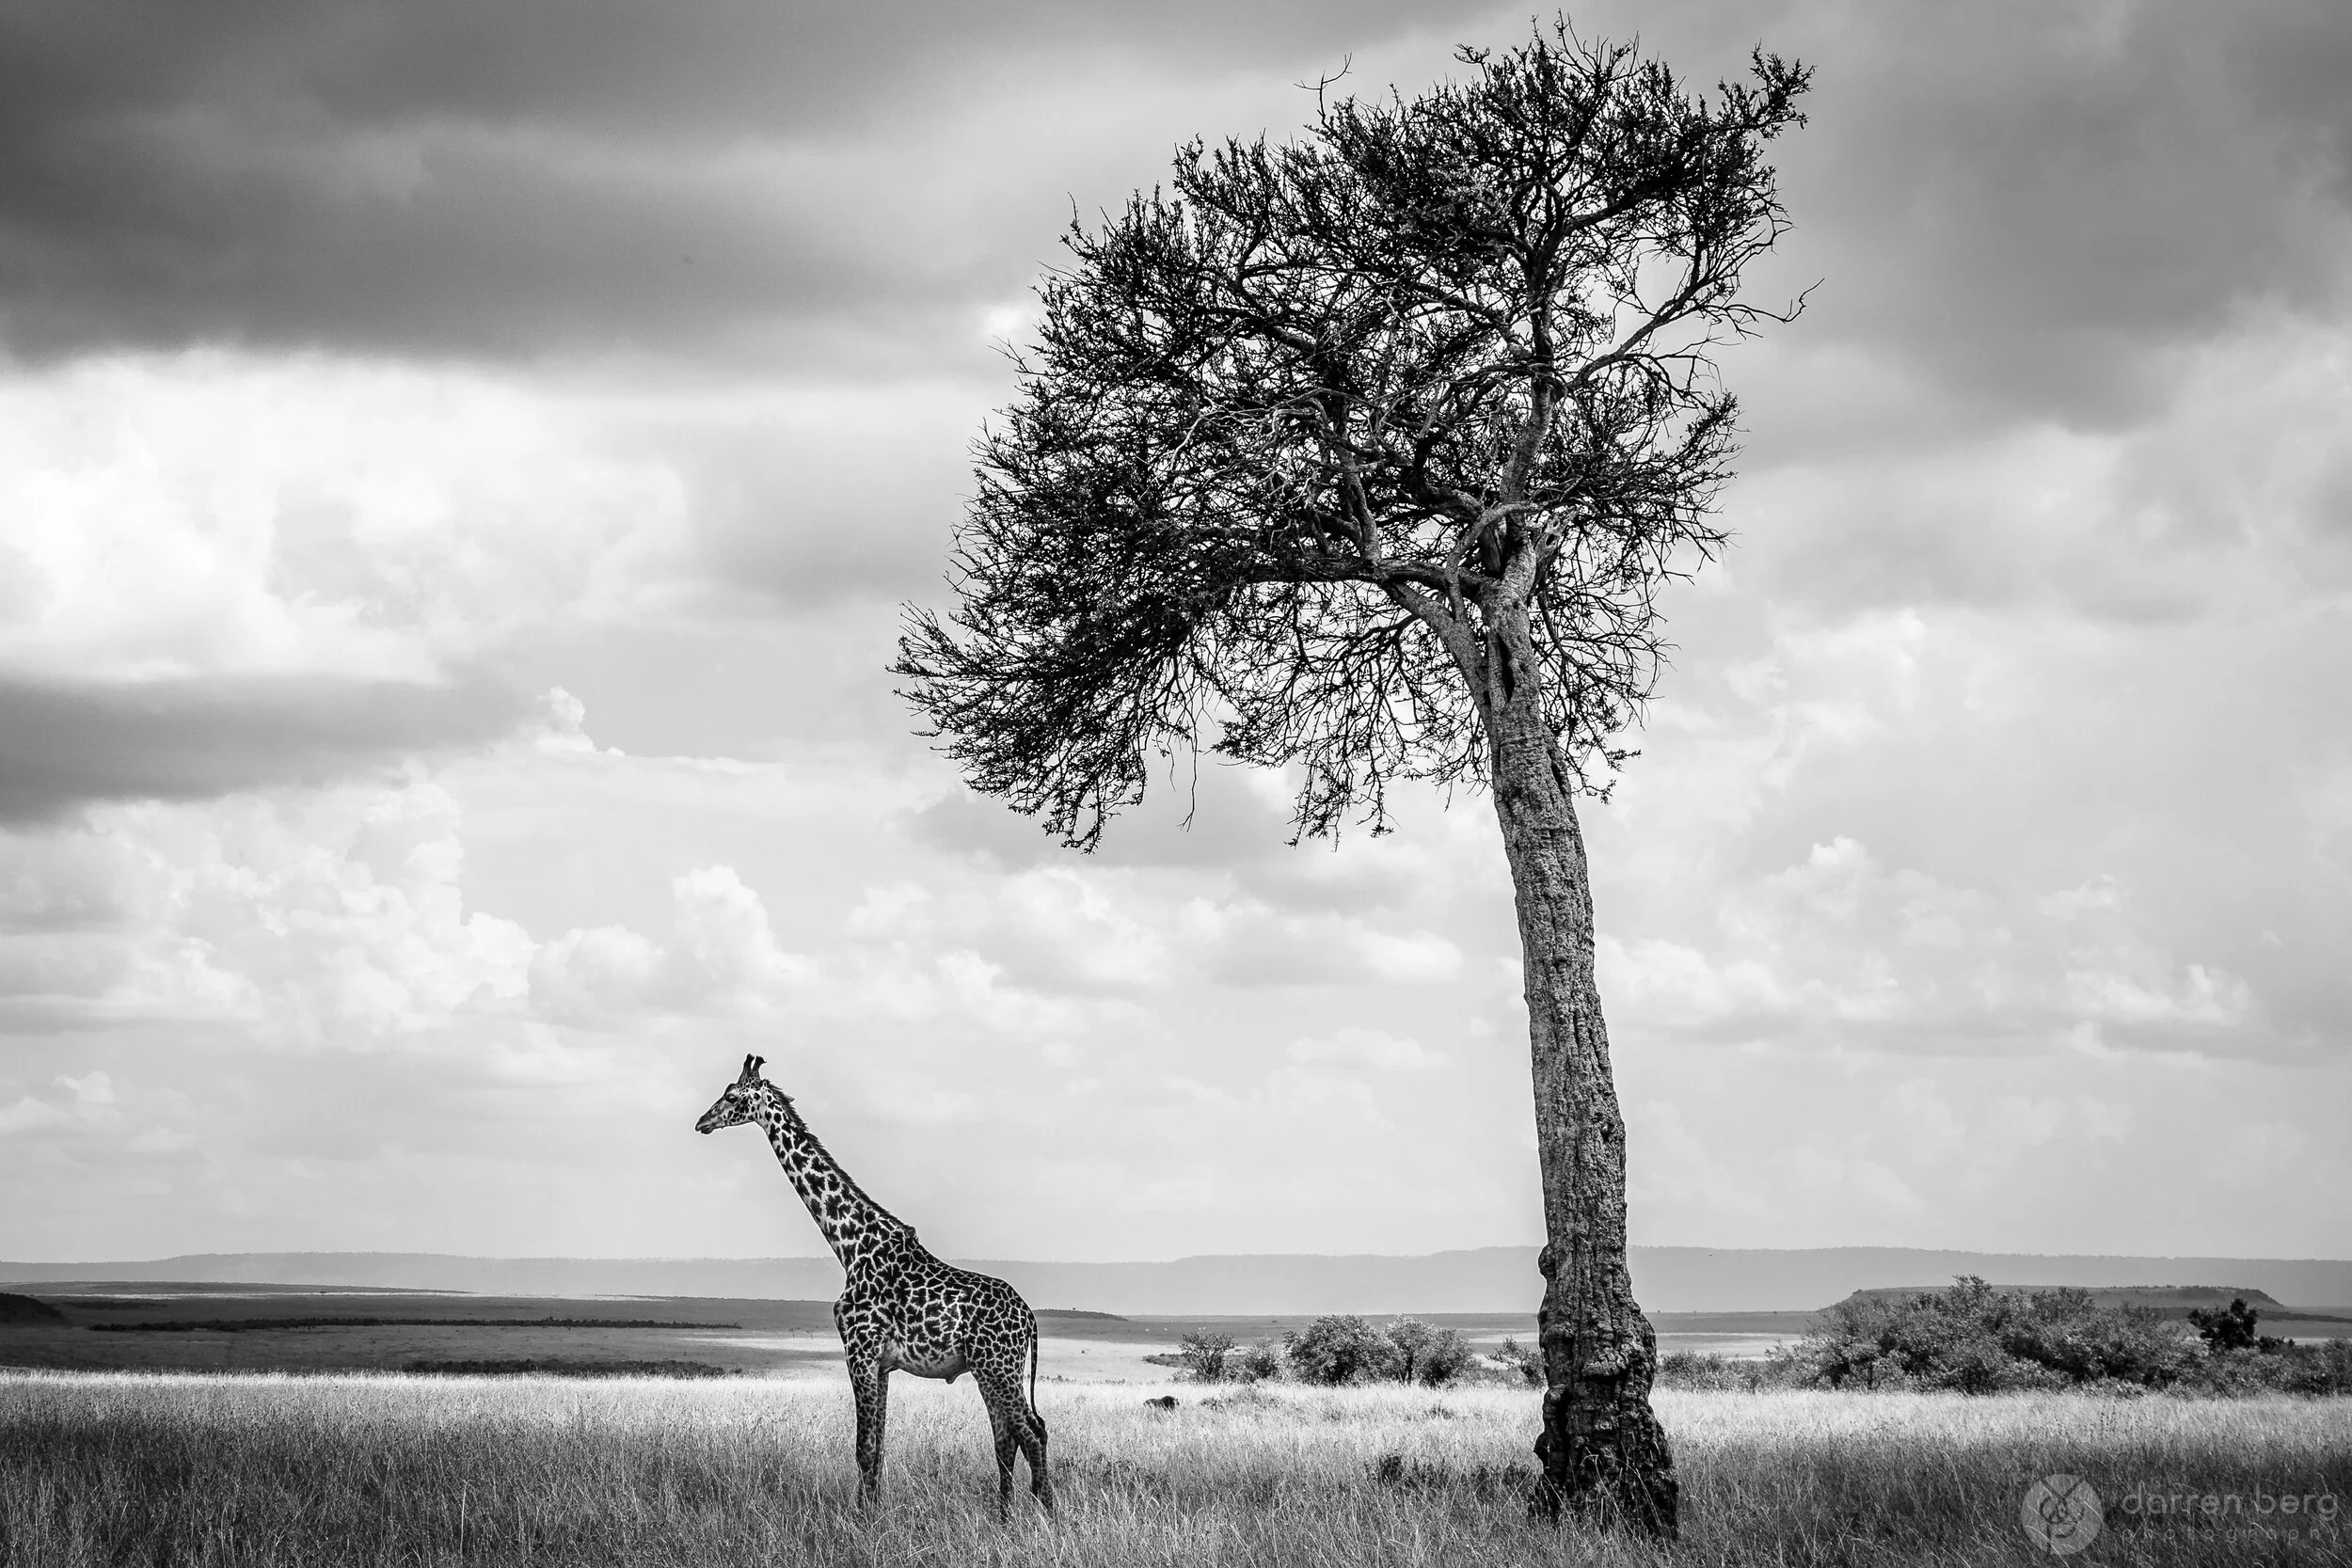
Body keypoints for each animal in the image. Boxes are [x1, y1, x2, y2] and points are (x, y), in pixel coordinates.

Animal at [694, 1054, 1052, 1518]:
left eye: (732, 1095)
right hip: (990, 1371)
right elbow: (878, 1448)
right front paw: (874, 1511)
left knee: (1032, 1431)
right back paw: (1006, 1517)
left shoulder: (859, 1351)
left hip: (998, 1367)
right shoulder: (881, 1364)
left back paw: (1045, 1513)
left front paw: (863, 1520)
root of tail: (1029, 1319)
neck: (850, 1245)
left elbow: (863, 1448)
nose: (702, 1122)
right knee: (1009, 1438)